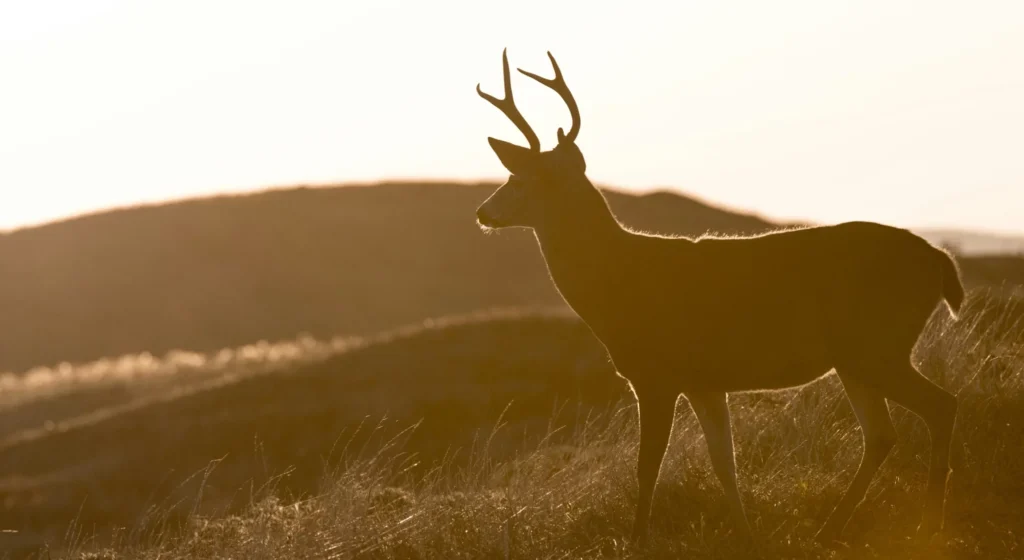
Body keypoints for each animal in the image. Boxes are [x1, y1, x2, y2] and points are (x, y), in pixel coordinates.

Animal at [473, 49, 964, 546]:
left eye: (520, 178)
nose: (482, 212)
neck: (618, 281)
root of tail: (940, 260)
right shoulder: (704, 382)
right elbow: (724, 464)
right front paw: (747, 537)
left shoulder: (656, 374)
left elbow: (647, 467)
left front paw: (636, 541)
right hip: (857, 358)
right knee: (882, 434)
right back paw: (831, 530)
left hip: (877, 346)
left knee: (941, 406)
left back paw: (929, 524)